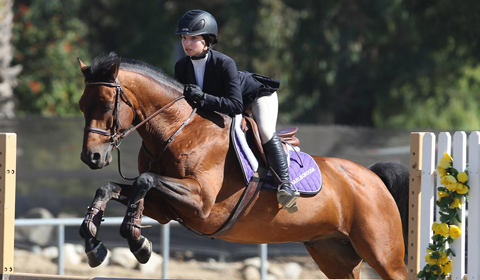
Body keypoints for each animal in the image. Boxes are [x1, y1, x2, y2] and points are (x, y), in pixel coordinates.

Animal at [77, 53, 406, 278]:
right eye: (82, 106)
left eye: (106, 106)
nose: (91, 158)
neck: (177, 131)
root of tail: (372, 176)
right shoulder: (167, 208)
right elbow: (111, 187)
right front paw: (94, 242)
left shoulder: (202, 203)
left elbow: (144, 180)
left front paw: (137, 241)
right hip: (333, 253)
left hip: (383, 254)